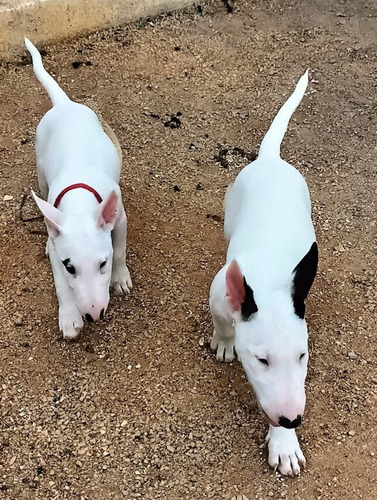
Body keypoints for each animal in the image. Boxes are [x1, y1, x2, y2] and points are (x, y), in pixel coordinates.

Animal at [25, 37, 132, 338]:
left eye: (103, 263)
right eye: (70, 267)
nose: (94, 315)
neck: (80, 199)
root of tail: (65, 104)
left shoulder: (120, 217)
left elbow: (120, 249)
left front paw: (120, 279)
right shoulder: (60, 257)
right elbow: (61, 285)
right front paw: (70, 318)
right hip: (40, 170)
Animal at [209, 69, 318, 472]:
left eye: (302, 355)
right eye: (261, 360)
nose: (293, 420)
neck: (269, 279)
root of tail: (271, 159)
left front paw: (284, 443)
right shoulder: (219, 295)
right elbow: (225, 325)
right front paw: (225, 344)